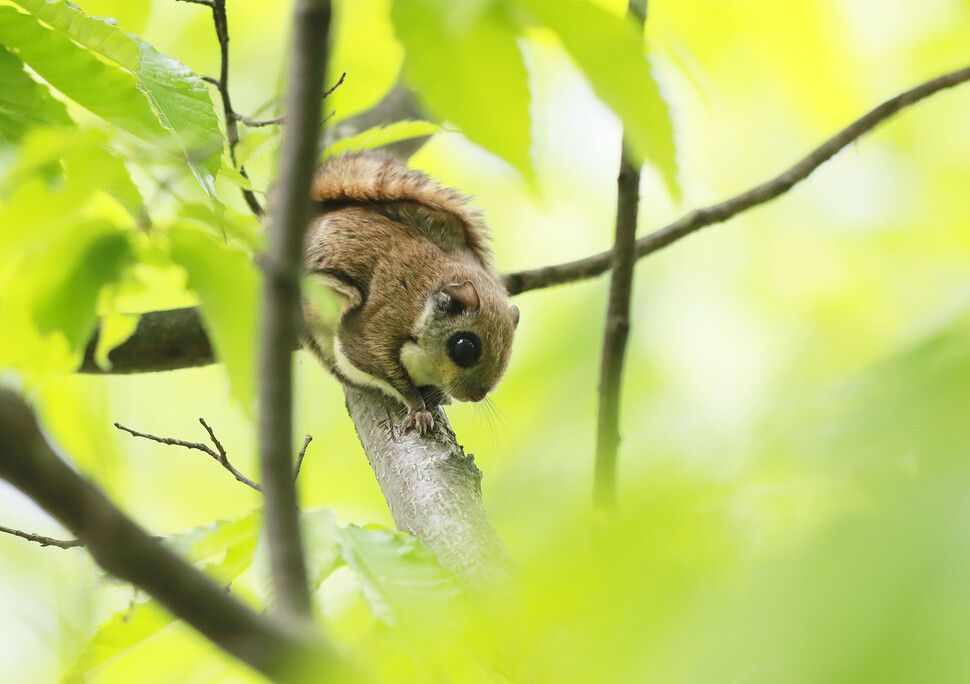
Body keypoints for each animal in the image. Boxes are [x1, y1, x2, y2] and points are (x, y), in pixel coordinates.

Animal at [300, 154, 520, 432]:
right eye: (465, 348)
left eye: (509, 353)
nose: (476, 396)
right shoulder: (375, 333)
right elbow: (391, 377)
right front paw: (418, 410)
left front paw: (438, 395)